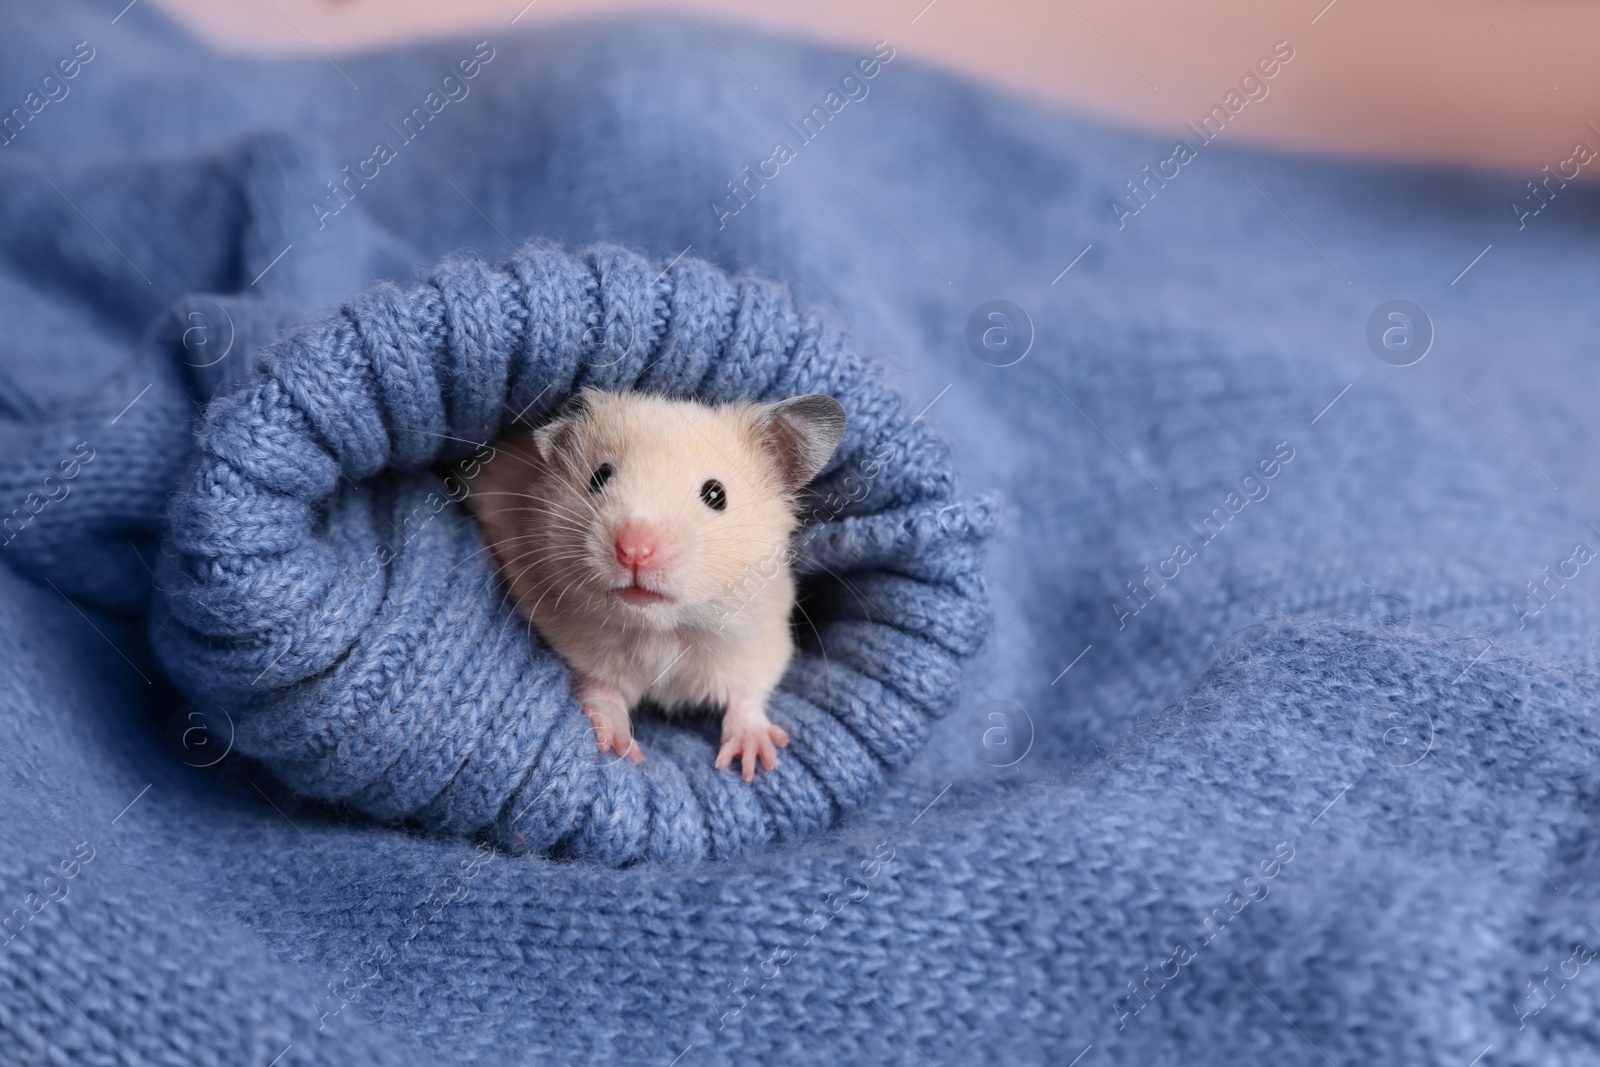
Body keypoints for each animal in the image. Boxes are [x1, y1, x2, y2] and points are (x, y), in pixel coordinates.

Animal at [467, 388, 851, 780]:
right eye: (599, 477)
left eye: (716, 495)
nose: (634, 551)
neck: (663, 631)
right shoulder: (575, 636)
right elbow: (600, 685)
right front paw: (620, 748)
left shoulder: (761, 638)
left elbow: (749, 690)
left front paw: (753, 761)